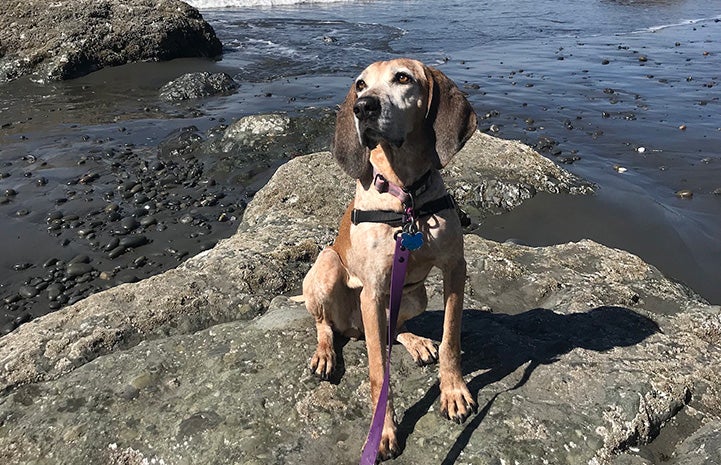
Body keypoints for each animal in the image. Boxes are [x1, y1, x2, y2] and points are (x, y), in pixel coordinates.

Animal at [300, 57, 476, 456]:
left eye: (403, 78)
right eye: (360, 85)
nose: (363, 108)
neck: (406, 195)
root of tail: (352, 328)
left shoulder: (455, 269)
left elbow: (451, 338)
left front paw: (453, 391)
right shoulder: (375, 290)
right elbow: (379, 372)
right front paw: (383, 430)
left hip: (416, 294)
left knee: (393, 328)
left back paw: (415, 341)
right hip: (328, 268)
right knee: (328, 327)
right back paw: (325, 353)